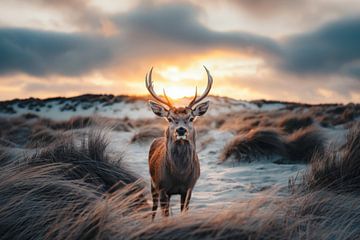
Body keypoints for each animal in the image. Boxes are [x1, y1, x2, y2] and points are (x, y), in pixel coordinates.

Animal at [145, 66, 212, 219]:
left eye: (191, 118)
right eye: (170, 118)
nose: (181, 130)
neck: (179, 175)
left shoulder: (189, 188)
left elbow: (184, 212)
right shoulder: (162, 186)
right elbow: (165, 216)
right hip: (152, 182)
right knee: (153, 208)